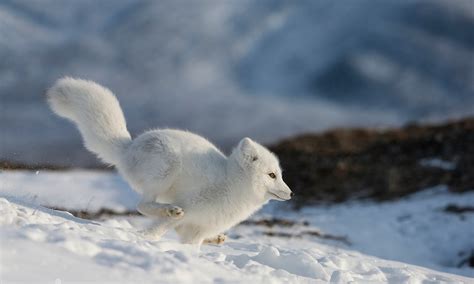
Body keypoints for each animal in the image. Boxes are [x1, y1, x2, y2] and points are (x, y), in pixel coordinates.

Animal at [48, 77, 292, 244]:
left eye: (280, 175)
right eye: (272, 175)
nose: (290, 193)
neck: (232, 184)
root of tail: (128, 147)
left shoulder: (198, 229)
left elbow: (191, 242)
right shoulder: (191, 206)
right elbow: (160, 228)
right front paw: (146, 239)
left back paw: (216, 238)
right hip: (166, 168)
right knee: (143, 205)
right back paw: (170, 210)